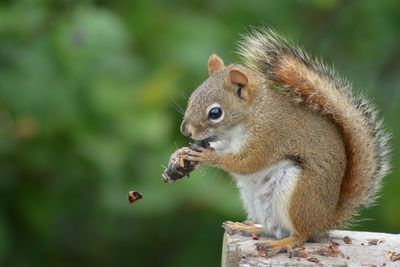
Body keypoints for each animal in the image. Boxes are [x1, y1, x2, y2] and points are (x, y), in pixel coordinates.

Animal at [179, 27, 390, 258]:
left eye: (215, 113)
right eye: (192, 97)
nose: (185, 130)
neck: (253, 115)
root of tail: (325, 220)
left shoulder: (268, 137)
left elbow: (247, 163)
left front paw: (206, 156)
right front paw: (181, 154)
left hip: (297, 193)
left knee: (301, 235)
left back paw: (280, 244)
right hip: (256, 202)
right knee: (273, 229)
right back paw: (247, 228)